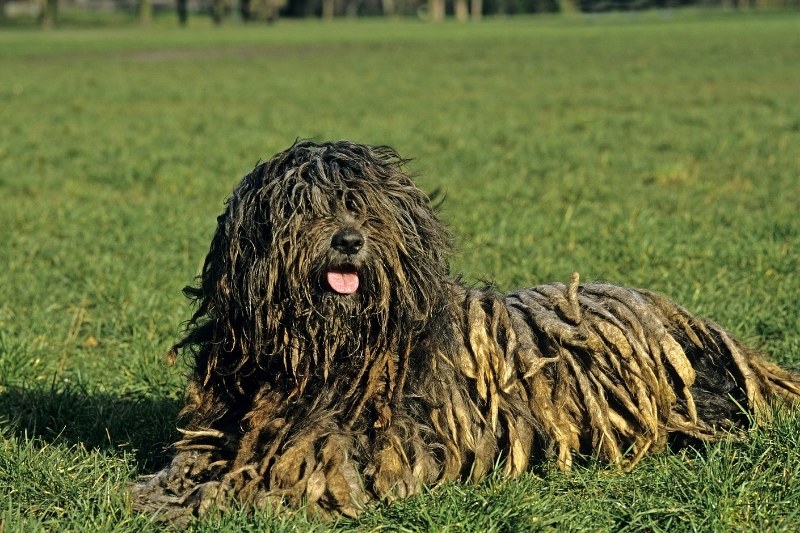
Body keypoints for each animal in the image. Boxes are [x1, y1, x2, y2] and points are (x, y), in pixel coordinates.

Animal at [133, 139, 800, 520]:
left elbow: (276, 486)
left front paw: (209, 501)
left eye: (364, 206)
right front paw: (162, 493)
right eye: (304, 207)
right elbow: (187, 466)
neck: (318, 355)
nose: (348, 241)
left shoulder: (356, 455)